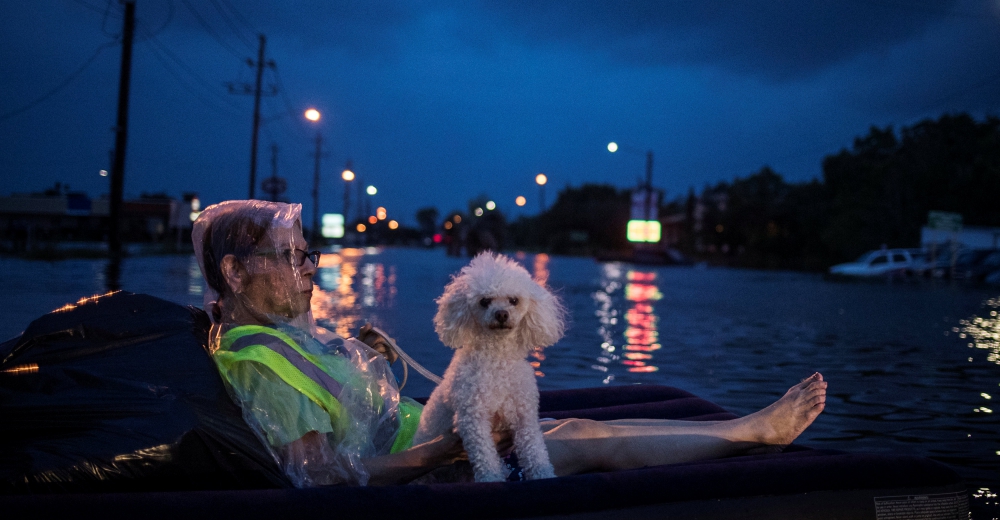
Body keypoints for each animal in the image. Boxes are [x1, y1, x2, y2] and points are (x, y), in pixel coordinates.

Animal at [414, 252, 568, 484]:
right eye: (484, 301)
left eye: (514, 300)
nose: (502, 314)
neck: (497, 358)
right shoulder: (473, 418)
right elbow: (485, 456)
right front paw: (491, 479)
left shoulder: (525, 416)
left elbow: (535, 451)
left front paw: (544, 475)